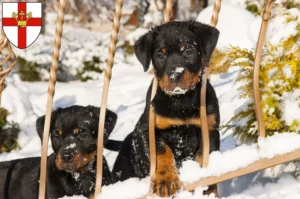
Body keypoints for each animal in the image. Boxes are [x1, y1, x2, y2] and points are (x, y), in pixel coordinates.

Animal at [112, 20, 220, 197]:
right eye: (160, 55)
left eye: (188, 50)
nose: (175, 74)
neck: (181, 100)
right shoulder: (147, 130)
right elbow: (162, 152)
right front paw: (165, 181)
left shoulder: (209, 129)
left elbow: (205, 158)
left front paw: (207, 190)